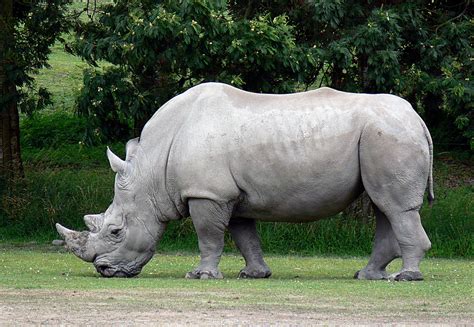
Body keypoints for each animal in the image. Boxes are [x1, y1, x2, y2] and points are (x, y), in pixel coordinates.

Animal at [55, 82, 434, 282]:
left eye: (116, 231)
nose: (104, 270)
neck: (152, 171)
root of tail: (417, 117)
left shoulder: (207, 193)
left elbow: (208, 236)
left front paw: (201, 276)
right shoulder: (230, 195)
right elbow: (244, 235)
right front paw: (254, 275)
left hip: (389, 136)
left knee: (395, 207)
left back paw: (406, 278)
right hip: (385, 135)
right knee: (384, 206)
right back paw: (367, 276)